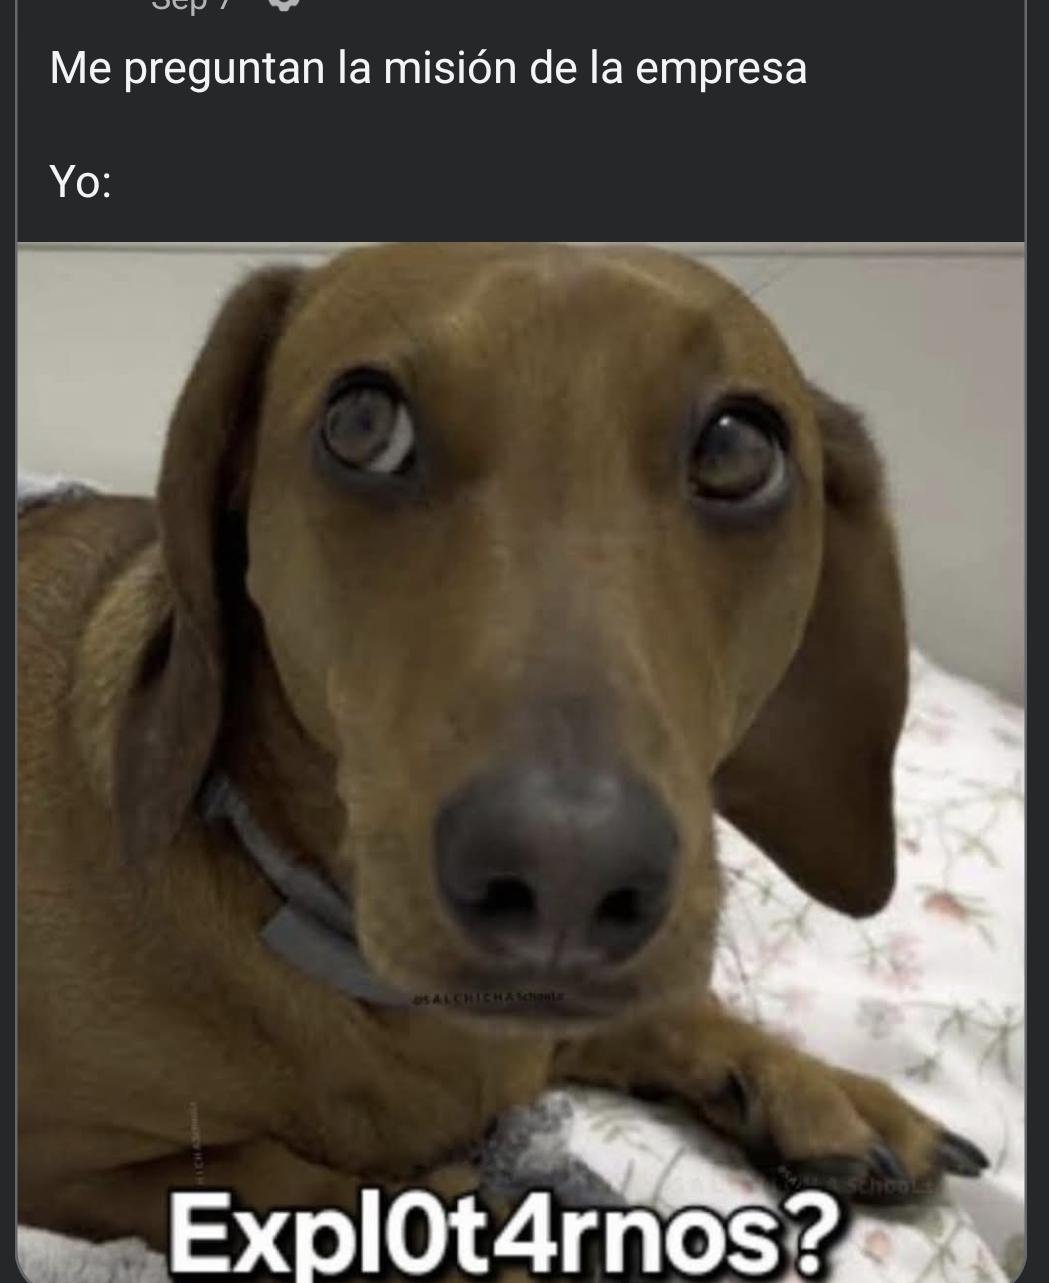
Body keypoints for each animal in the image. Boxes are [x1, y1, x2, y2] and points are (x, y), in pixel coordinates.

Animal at [18, 242, 988, 1252]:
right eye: (362, 424)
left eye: (737, 449)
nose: (569, 875)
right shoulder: (80, 1159)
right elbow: (323, 1195)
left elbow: (664, 1011)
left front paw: (811, 1085)